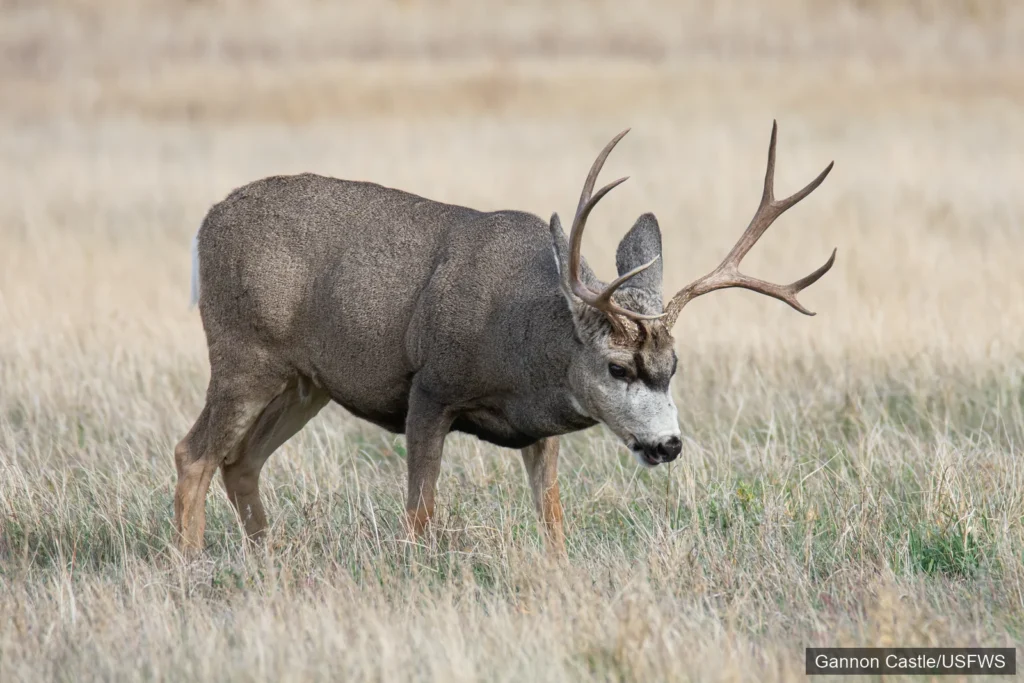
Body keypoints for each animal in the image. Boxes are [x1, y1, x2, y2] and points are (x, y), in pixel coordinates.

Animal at [175, 121, 835, 555]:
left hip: (304, 381)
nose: (668, 444)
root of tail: (204, 226)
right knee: (194, 453)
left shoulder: (540, 432)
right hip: (243, 354)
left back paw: (268, 559)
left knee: (241, 461)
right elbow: (419, 515)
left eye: (673, 367)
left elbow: (553, 519)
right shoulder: (430, 388)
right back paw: (193, 565)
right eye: (618, 367)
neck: (522, 343)